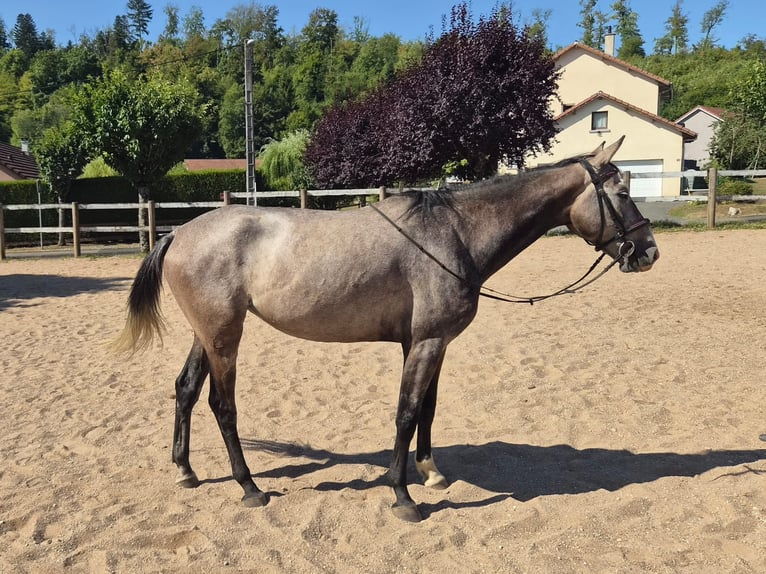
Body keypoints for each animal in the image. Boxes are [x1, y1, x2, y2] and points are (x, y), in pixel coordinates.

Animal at [115, 136, 659, 522]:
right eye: (623, 192)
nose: (649, 251)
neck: (454, 234)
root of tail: (179, 231)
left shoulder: (427, 343)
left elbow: (427, 411)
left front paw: (431, 473)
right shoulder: (426, 343)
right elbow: (406, 412)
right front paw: (403, 496)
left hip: (207, 334)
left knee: (185, 389)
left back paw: (186, 470)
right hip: (225, 336)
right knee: (221, 405)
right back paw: (249, 487)